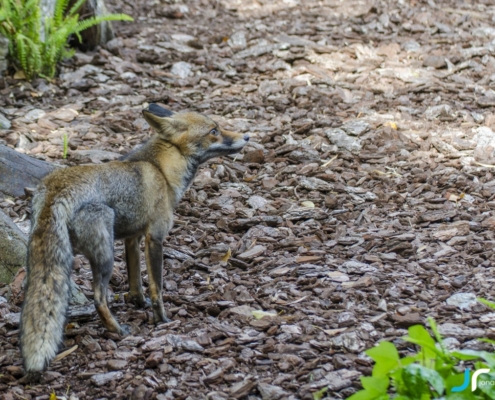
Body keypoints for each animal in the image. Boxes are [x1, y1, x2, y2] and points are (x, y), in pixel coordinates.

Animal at [20, 104, 250, 378]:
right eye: (214, 131)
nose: (247, 136)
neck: (161, 171)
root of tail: (55, 188)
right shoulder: (155, 238)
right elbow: (156, 288)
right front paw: (162, 320)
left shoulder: (132, 239)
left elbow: (135, 280)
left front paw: (137, 303)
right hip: (105, 256)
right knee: (98, 298)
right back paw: (117, 330)